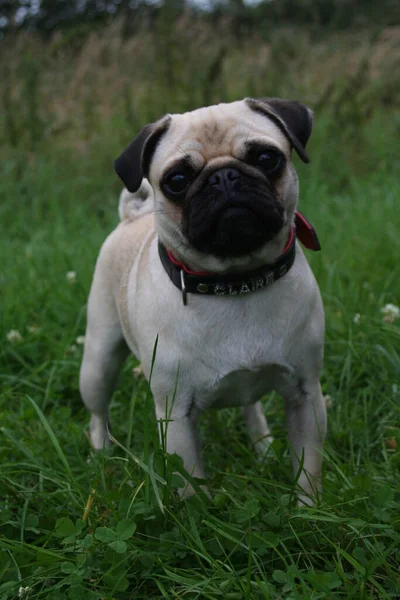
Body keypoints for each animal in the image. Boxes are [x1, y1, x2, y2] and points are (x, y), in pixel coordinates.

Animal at [79, 98, 326, 506]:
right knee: (98, 412)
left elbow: (308, 468)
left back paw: (263, 448)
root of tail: (132, 217)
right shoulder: (176, 416)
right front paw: (201, 514)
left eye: (266, 158)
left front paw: (308, 510)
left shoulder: (305, 396)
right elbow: (191, 483)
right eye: (177, 180)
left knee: (251, 408)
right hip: (98, 363)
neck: (236, 284)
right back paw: (101, 454)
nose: (224, 177)